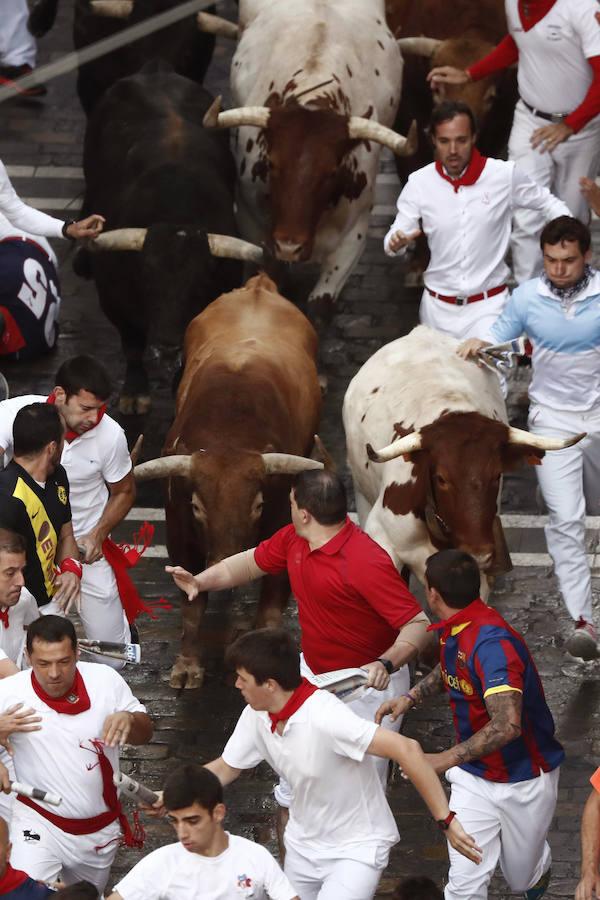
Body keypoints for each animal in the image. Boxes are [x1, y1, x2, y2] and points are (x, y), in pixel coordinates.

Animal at [81, 65, 258, 414]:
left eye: (199, 281)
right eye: (146, 275)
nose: (165, 344)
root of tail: (155, 71)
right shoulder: (115, 302)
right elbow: (132, 345)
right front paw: (135, 392)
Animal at [132, 274, 324, 688]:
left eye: (257, 505)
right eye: (197, 506)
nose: (224, 561)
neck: (229, 433)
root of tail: (258, 286)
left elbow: (271, 604)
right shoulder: (180, 537)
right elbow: (192, 607)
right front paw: (187, 666)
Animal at [202, 0, 418, 324]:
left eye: (332, 172)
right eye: (272, 164)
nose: (290, 246)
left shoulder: (353, 235)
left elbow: (319, 308)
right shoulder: (252, 225)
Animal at [344, 326, 584, 596]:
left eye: (497, 475)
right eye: (441, 478)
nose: (479, 554)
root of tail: (420, 331)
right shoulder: (382, 537)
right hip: (362, 494)